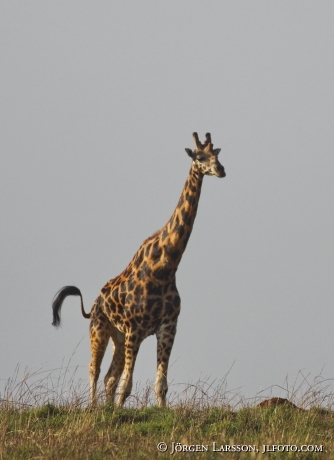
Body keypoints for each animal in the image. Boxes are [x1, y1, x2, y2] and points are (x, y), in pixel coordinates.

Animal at [52, 132, 226, 406]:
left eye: (217, 155)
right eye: (199, 157)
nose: (221, 170)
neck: (166, 267)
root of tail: (94, 304)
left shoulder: (167, 327)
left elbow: (160, 385)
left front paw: (158, 411)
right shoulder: (135, 329)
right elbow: (127, 385)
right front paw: (119, 411)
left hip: (118, 337)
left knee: (109, 377)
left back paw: (106, 408)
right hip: (100, 328)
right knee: (94, 370)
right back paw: (93, 407)